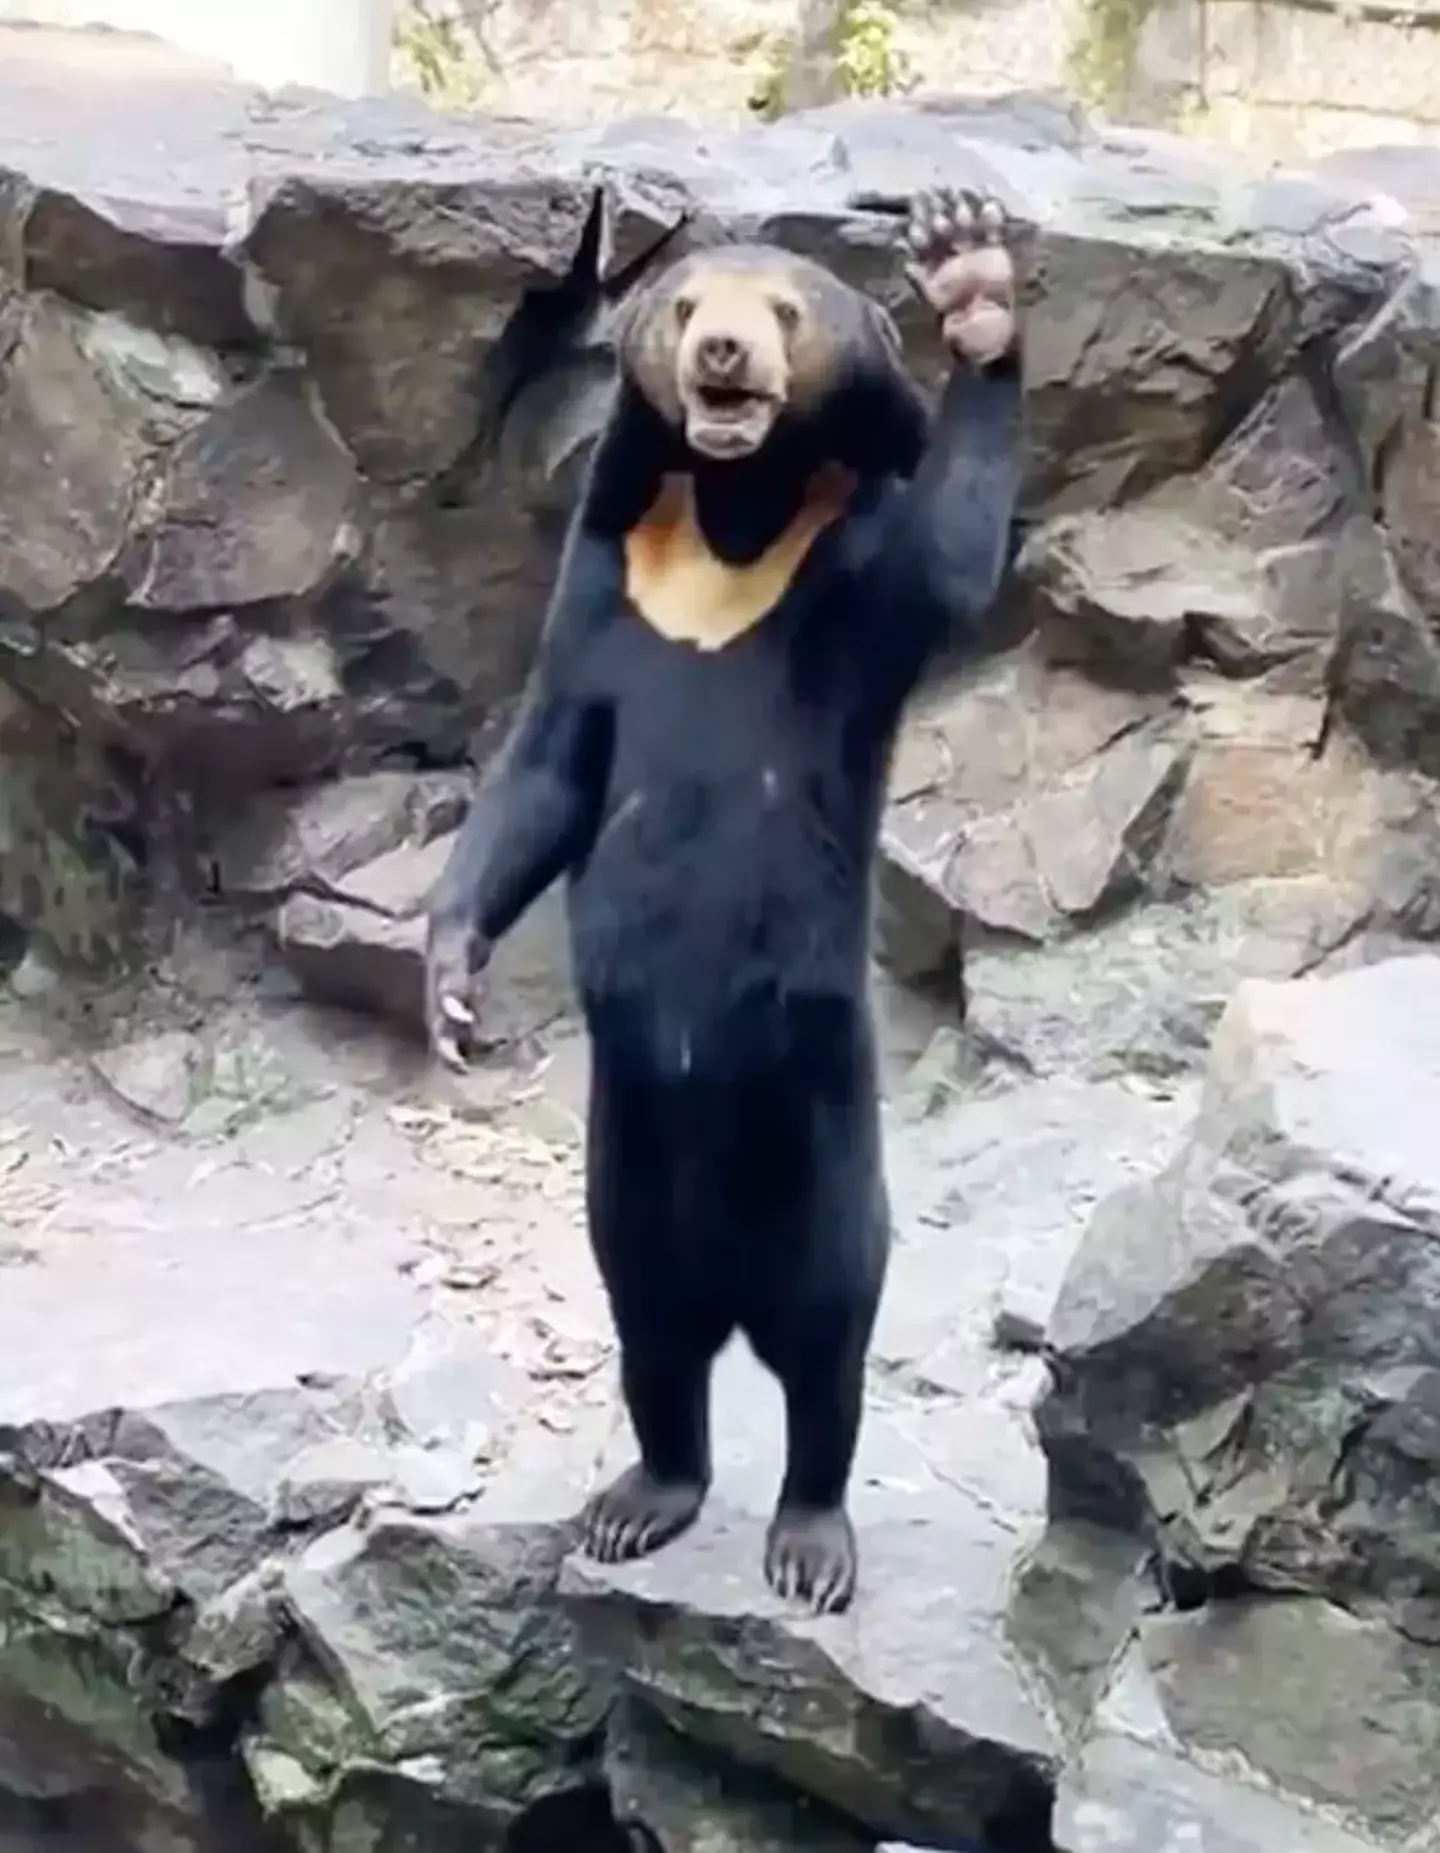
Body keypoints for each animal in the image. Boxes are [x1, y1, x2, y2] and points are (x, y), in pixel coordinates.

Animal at [425, 188, 1025, 1616]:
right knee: (652, 1328)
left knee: (827, 1333)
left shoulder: (855, 574)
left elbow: (952, 565)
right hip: (626, 1166)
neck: (735, 523)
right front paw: (451, 988)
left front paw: (972, 276)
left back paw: (810, 1539)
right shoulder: (608, 580)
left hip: (819, 1129)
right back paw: (641, 1498)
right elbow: (548, 767)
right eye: (690, 305)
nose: (724, 358)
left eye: (787, 311)